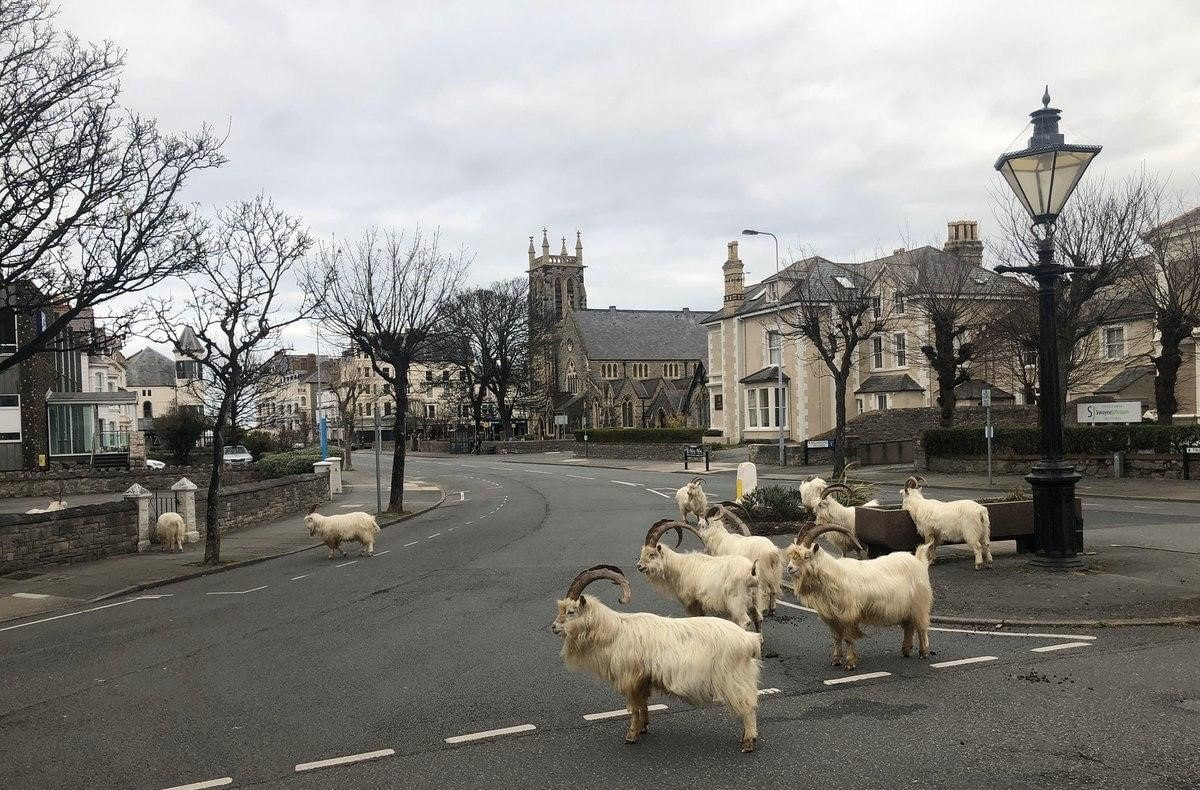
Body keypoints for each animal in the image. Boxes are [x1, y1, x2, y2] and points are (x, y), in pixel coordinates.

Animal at [552, 559, 758, 749]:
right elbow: (643, 704)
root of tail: (749, 640)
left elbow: (635, 707)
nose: (554, 627)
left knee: (748, 706)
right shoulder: (642, 679)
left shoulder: (630, 678)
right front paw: (643, 727)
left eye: (571, 611)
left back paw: (748, 741)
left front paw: (631, 735)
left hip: (733, 678)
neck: (614, 631)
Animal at [782, 521, 931, 667]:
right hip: (906, 608)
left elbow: (848, 638)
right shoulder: (832, 617)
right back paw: (905, 650)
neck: (834, 576)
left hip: (919, 603)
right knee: (909, 627)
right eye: (791, 556)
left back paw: (923, 652)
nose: (790, 568)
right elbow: (837, 638)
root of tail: (918, 560)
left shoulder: (848, 614)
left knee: (921, 627)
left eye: (806, 556)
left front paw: (850, 662)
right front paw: (836, 659)